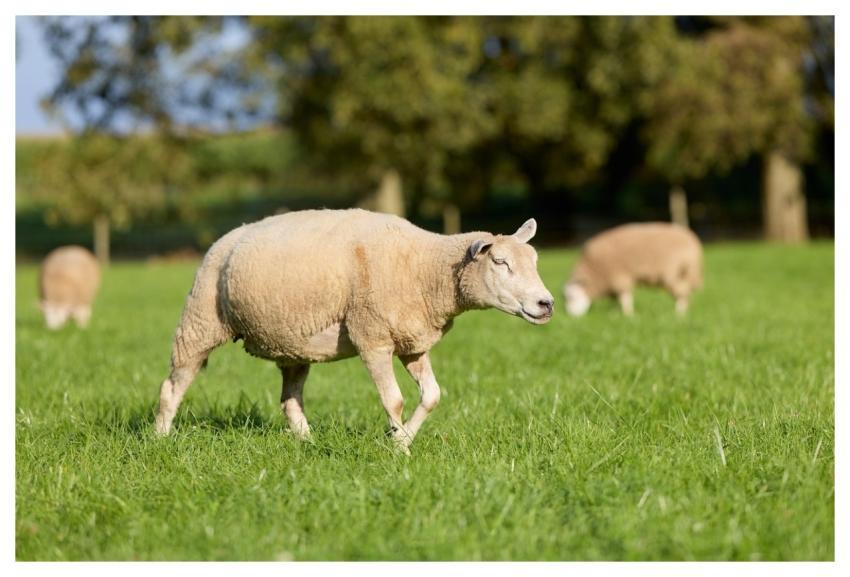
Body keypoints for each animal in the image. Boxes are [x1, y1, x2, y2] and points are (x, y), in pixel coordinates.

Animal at [154, 208, 554, 452]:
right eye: (500, 262)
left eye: (534, 261)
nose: (546, 304)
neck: (426, 267)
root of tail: (227, 237)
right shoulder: (372, 336)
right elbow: (394, 400)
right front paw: (399, 450)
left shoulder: (411, 342)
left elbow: (432, 396)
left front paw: (401, 439)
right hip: (201, 320)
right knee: (173, 386)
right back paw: (160, 438)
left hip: (292, 343)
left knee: (290, 399)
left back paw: (308, 443)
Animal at [563, 223, 703, 317]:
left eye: (572, 297)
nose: (570, 316)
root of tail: (691, 238)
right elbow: (619, 299)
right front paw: (615, 314)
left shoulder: (619, 276)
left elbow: (625, 298)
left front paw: (628, 315)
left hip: (673, 272)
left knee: (683, 293)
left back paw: (679, 314)